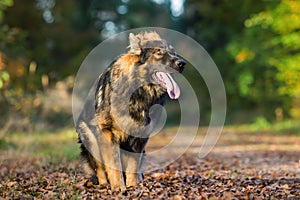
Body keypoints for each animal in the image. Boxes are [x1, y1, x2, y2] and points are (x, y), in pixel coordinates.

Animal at [75, 31, 185, 189]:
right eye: (159, 52)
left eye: (173, 52)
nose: (182, 63)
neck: (138, 91)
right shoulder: (108, 133)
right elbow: (114, 165)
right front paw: (119, 187)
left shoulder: (141, 137)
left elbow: (133, 166)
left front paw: (133, 186)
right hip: (90, 139)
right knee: (100, 169)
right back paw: (104, 185)